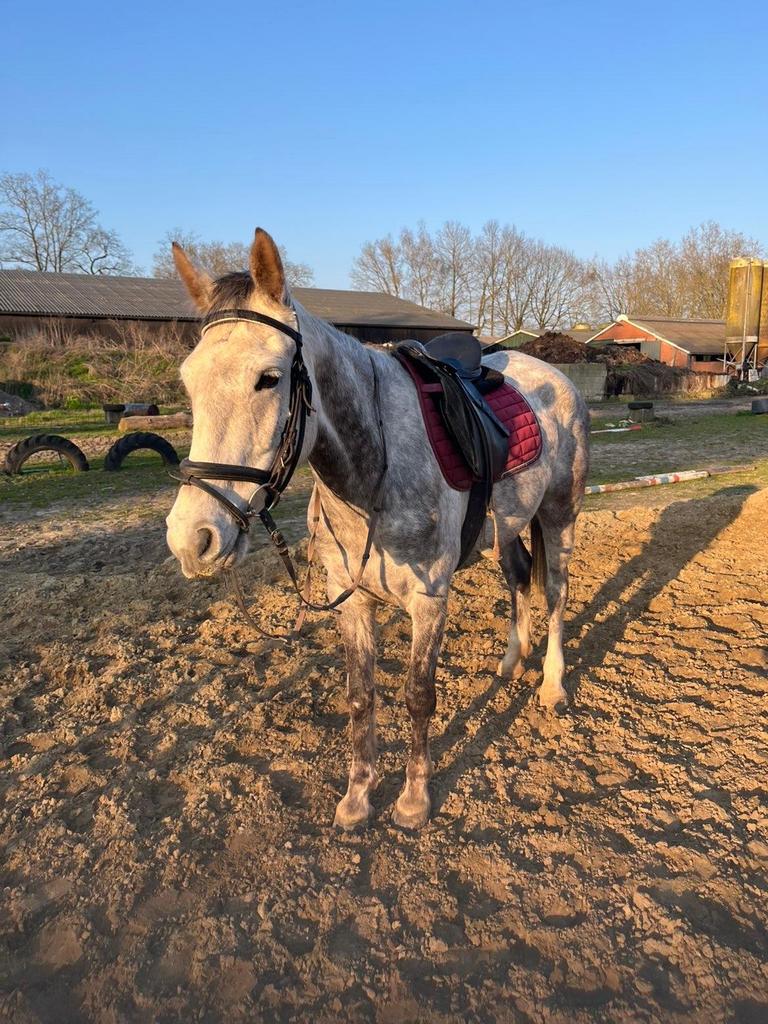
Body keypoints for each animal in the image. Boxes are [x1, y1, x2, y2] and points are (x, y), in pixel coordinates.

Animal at [165, 228, 590, 830]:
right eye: (188, 381)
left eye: (269, 378)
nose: (192, 538)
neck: (373, 471)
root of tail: (554, 377)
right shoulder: (352, 599)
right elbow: (361, 696)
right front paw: (358, 797)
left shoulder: (429, 600)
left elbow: (418, 696)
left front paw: (413, 801)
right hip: (508, 526)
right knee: (518, 577)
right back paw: (511, 662)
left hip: (558, 515)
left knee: (554, 590)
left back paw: (552, 684)